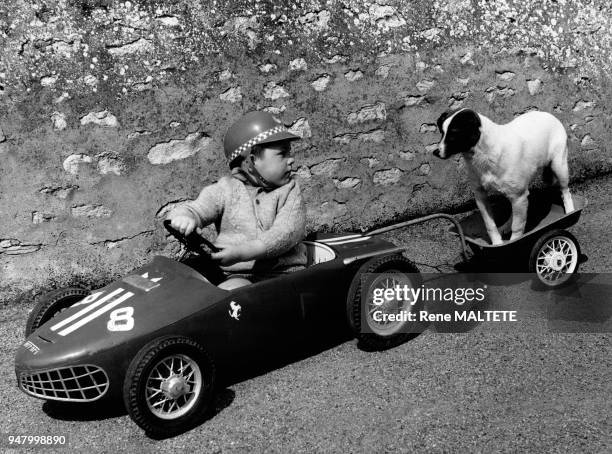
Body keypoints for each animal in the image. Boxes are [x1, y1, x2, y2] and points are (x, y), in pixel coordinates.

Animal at [436, 108, 572, 247]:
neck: (484, 154)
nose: (435, 152)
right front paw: (497, 243)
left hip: (559, 167)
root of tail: (546, 113)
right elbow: (490, 225)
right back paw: (506, 226)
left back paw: (570, 212)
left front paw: (514, 243)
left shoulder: (518, 196)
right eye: (442, 133)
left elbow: (517, 228)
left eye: (454, 133)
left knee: (565, 191)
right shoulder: (481, 196)